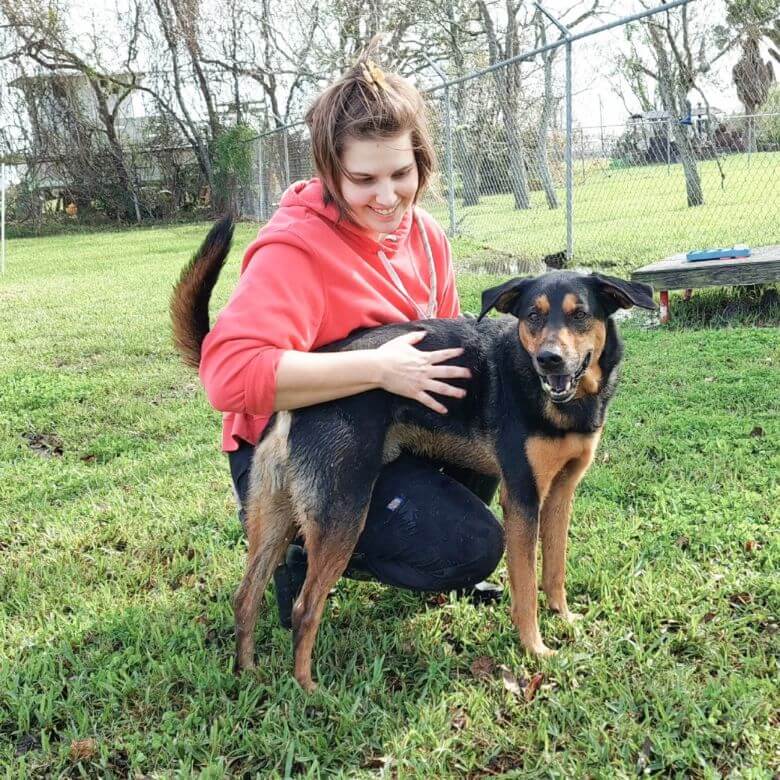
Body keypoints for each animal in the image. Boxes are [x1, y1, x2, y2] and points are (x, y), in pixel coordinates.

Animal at [172, 218, 660, 688]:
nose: (550, 360)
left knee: (246, 596)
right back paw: (309, 689)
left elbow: (554, 569)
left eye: (580, 315)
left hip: (273, 514)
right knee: (305, 607)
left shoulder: (560, 493)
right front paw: (536, 649)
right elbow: (525, 589)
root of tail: (295, 394)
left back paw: (248, 671)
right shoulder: (522, 499)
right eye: (532, 316)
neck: (565, 401)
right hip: (343, 510)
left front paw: (565, 618)